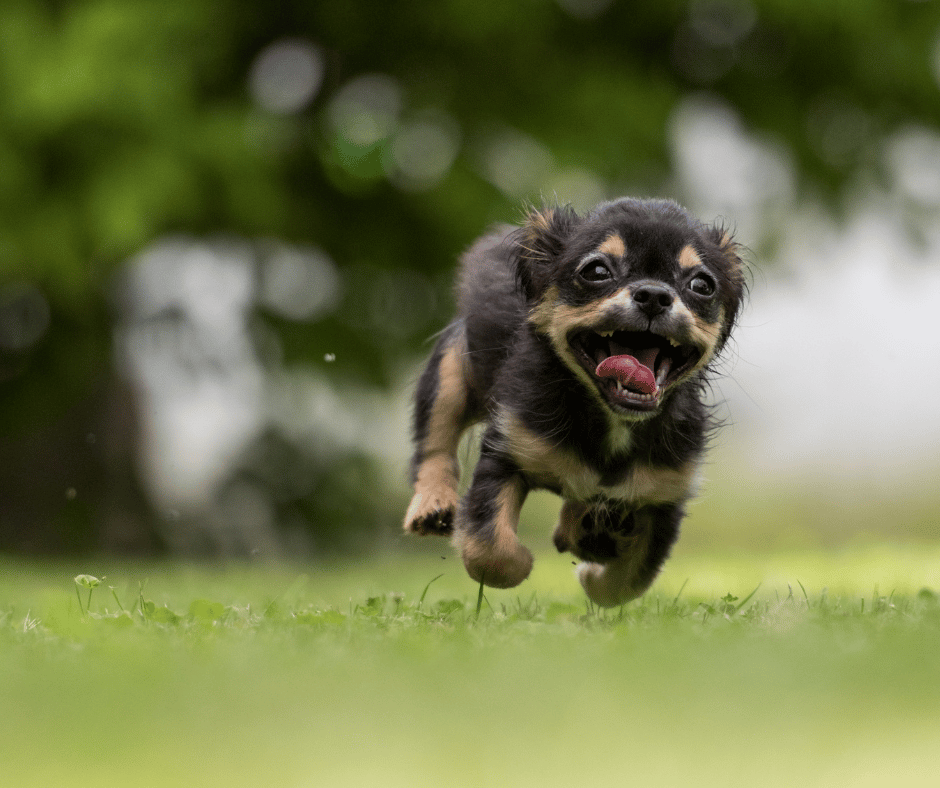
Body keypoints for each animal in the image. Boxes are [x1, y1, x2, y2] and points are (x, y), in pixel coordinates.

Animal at [404, 197, 745, 606]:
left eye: (701, 285)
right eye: (596, 271)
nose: (654, 294)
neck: (611, 419)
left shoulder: (663, 496)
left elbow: (626, 583)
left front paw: (591, 571)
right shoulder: (507, 452)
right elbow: (491, 551)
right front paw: (524, 562)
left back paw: (582, 529)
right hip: (450, 373)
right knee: (435, 443)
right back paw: (432, 504)